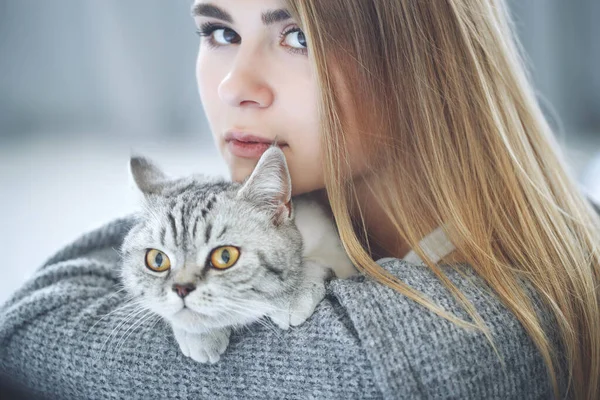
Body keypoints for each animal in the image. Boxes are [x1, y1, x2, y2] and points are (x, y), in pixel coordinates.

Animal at [119, 146, 358, 362]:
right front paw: (200, 335)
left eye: (225, 257)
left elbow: (312, 263)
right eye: (157, 260)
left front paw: (294, 294)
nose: (181, 289)